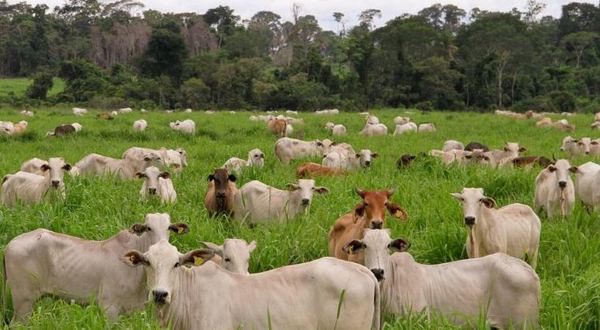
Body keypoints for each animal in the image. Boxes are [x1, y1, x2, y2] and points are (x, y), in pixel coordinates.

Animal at [4, 213, 188, 324]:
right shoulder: (109, 307)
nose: (162, 244)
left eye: (169, 228)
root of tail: (10, 244)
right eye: (149, 228)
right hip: (23, 301)